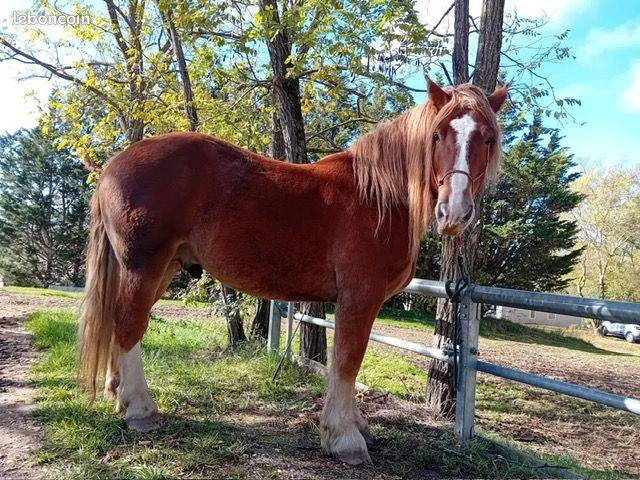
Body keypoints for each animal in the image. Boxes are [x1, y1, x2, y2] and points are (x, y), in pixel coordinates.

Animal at [78, 78, 507, 465]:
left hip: (162, 268)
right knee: (129, 325)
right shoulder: (359, 295)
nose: (454, 212)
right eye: (437, 135)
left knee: (122, 323)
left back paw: (118, 393)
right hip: (144, 266)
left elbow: (345, 362)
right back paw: (140, 410)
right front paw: (344, 437)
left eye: (487, 138)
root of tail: (114, 165)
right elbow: (348, 360)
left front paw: (354, 424)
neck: (379, 194)